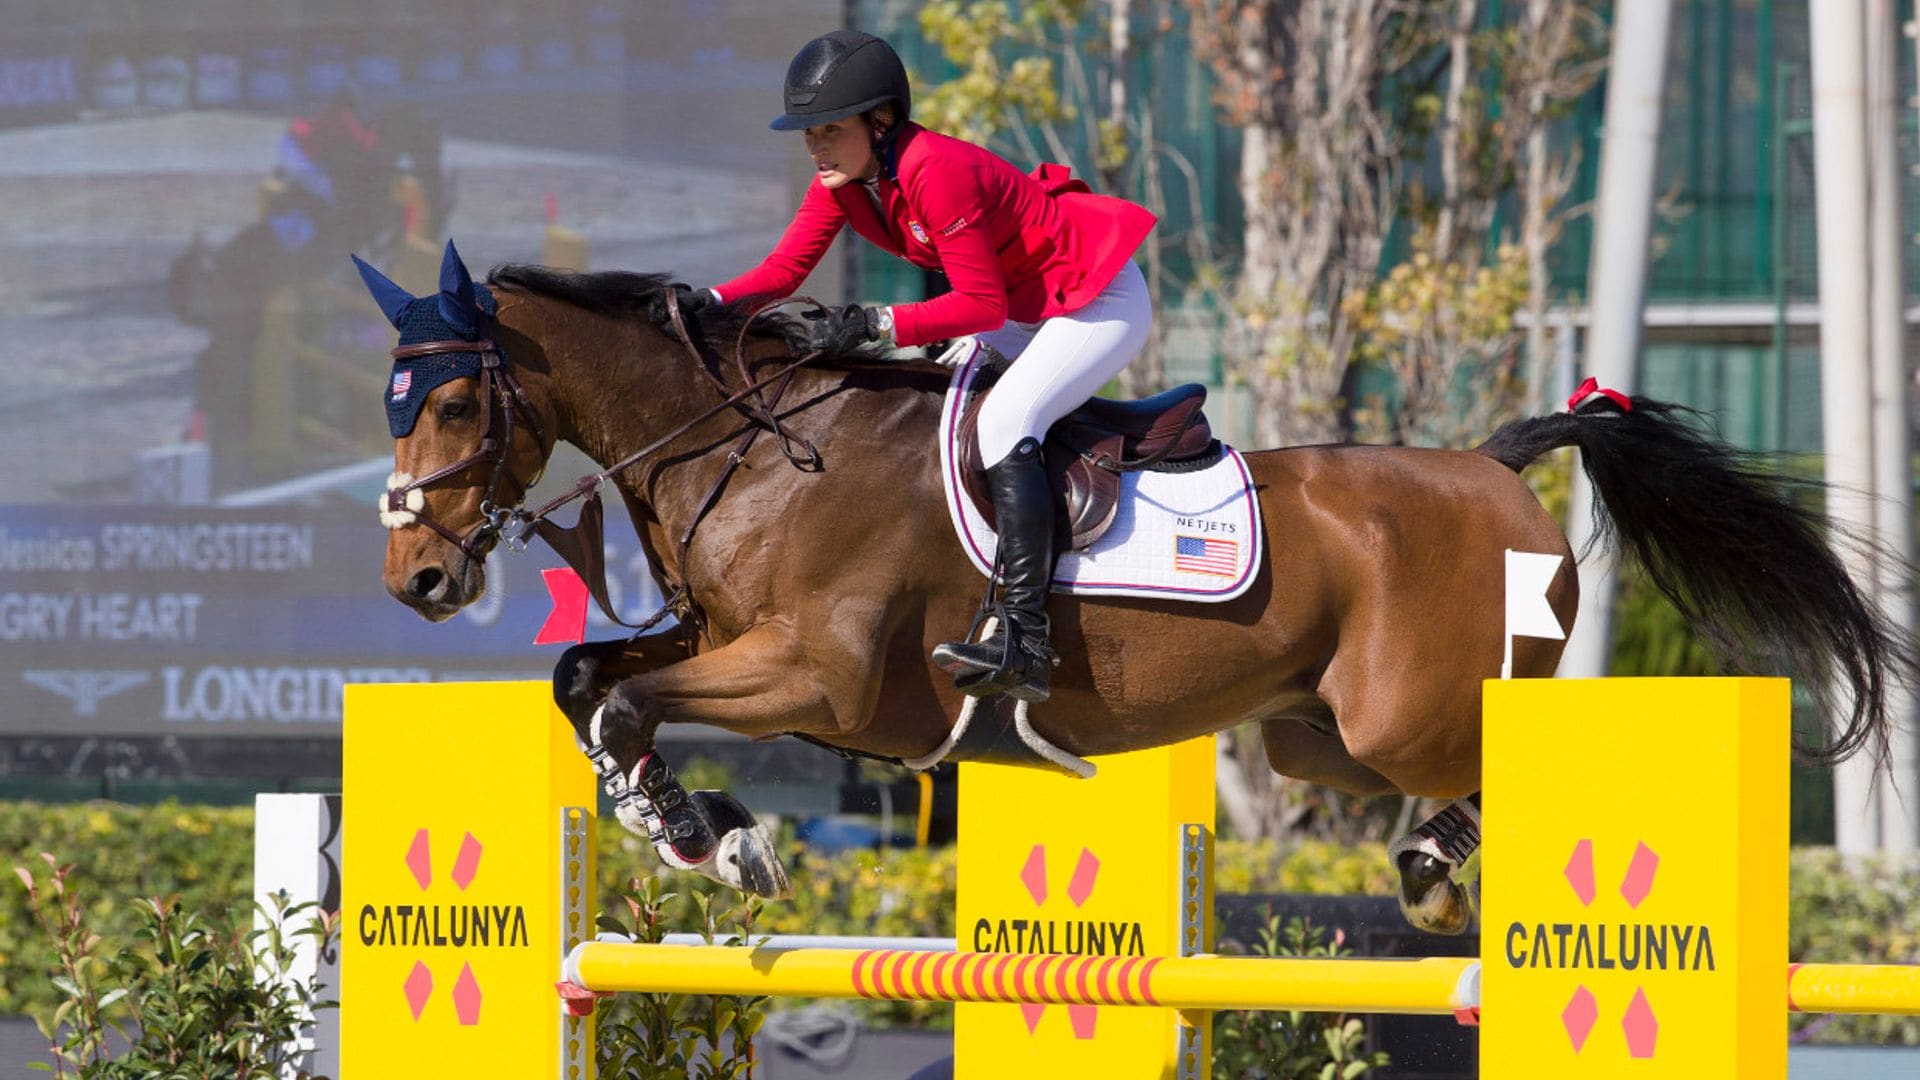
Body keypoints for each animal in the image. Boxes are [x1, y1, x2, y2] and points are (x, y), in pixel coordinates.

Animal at [360, 245, 1904, 933]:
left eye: (454, 408)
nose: (418, 575)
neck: (752, 444)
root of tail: (1493, 462)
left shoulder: (822, 681)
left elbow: (627, 698)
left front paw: (706, 832)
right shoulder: (719, 640)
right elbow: (591, 681)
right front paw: (697, 832)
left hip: (1408, 716)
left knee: (1507, 766)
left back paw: (1440, 874)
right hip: (1317, 738)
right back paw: (1428, 867)